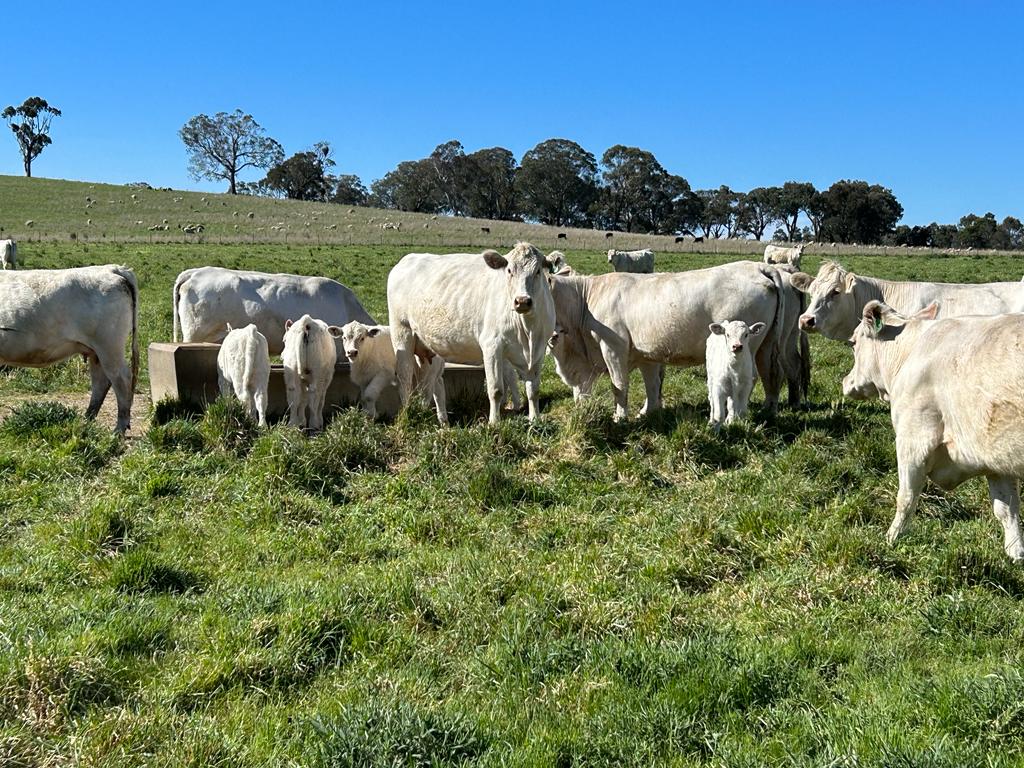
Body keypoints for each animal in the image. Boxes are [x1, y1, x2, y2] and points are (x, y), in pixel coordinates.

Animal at [0, 265, 138, 433]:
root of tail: (112, 268)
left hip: (109, 346)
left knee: (121, 379)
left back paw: (118, 430)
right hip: (96, 352)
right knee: (101, 382)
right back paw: (86, 421)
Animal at [387, 242, 558, 424]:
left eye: (538, 271)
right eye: (509, 270)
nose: (522, 301)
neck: (527, 332)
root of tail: (408, 258)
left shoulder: (538, 350)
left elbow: (533, 389)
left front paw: (535, 419)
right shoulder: (492, 346)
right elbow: (496, 389)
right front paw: (494, 422)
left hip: (427, 347)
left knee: (429, 382)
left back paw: (433, 415)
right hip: (401, 331)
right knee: (405, 376)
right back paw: (407, 412)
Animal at [546, 262, 787, 420]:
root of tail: (757, 266)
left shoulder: (613, 348)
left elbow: (619, 385)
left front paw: (620, 418)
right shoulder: (647, 354)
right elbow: (652, 384)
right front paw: (649, 412)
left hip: (744, 347)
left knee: (752, 377)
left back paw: (738, 415)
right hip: (766, 345)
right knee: (770, 374)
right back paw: (768, 410)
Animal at [843, 300, 1024, 562]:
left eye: (854, 342)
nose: (845, 382)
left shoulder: (912, 438)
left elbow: (906, 497)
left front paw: (891, 538)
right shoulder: (997, 455)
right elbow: (1007, 508)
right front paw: (1015, 554)